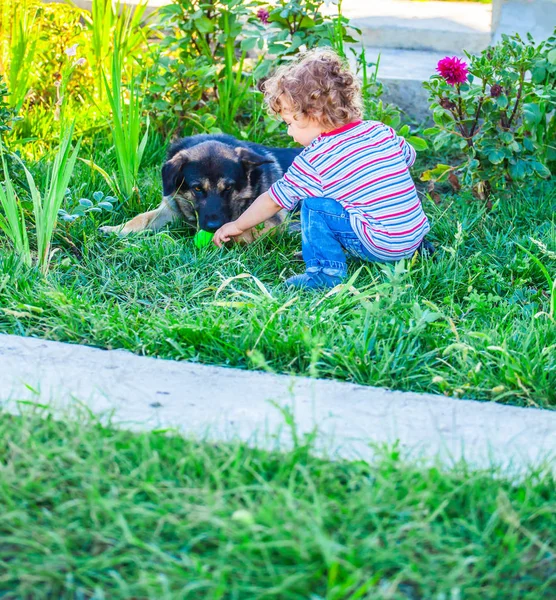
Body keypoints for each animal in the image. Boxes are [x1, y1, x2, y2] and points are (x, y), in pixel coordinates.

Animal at [97, 134, 302, 241]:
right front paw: (117, 229)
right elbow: (141, 218)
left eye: (228, 188)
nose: (212, 226)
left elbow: (240, 231)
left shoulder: (272, 223)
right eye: (197, 189)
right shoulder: (170, 210)